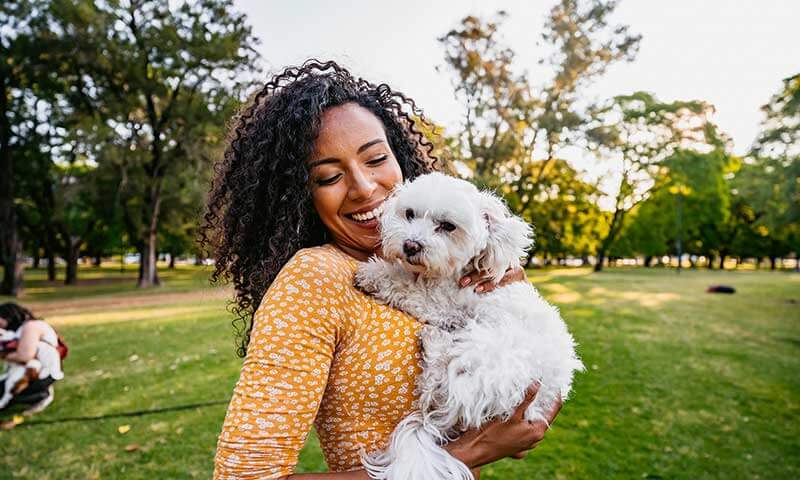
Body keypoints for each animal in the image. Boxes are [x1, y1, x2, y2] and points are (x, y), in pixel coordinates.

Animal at [360, 172, 584, 480]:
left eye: (447, 226)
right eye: (409, 214)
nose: (411, 245)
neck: (453, 274)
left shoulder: (446, 304)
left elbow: (410, 289)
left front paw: (375, 274)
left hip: (487, 354)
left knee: (437, 387)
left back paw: (435, 342)